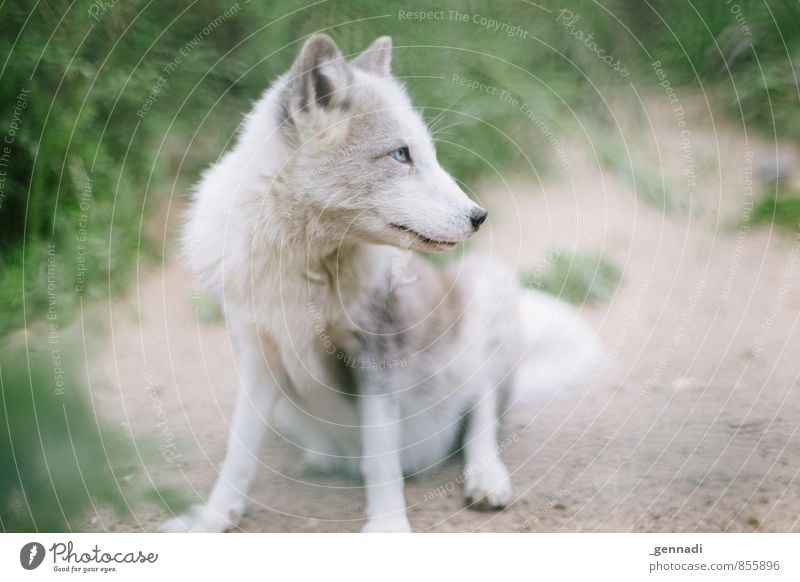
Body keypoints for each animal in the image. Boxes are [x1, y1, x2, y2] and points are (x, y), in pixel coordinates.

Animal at [162, 32, 600, 532]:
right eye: (401, 154)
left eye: (428, 153)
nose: (480, 216)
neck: (306, 269)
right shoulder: (257, 356)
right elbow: (238, 454)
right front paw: (212, 519)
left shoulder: (377, 357)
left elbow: (381, 457)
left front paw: (388, 526)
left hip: (488, 286)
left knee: (482, 413)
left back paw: (486, 477)